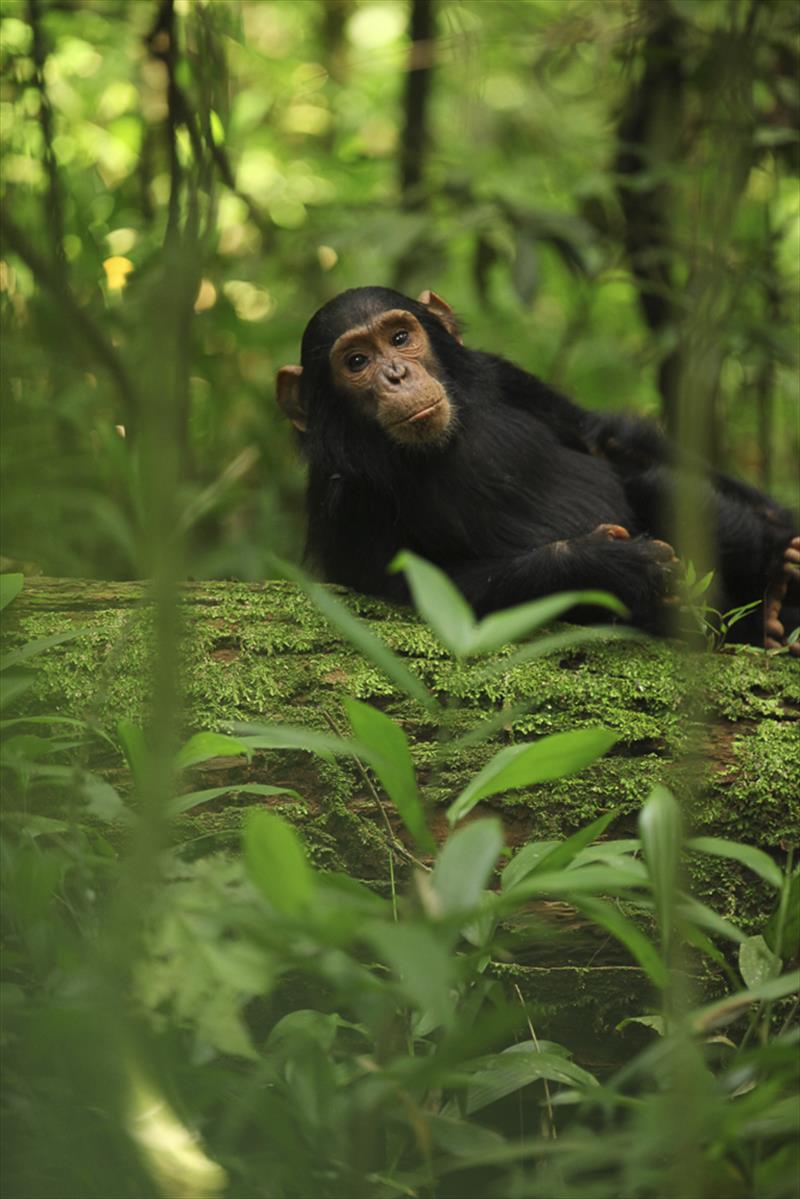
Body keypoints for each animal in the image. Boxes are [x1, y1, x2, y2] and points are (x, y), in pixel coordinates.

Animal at [277, 285, 800, 652]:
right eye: (357, 361)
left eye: (401, 338)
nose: (396, 375)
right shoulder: (344, 505)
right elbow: (436, 592)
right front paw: (605, 562)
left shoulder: (504, 375)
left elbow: (603, 439)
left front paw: (779, 536)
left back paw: (776, 589)